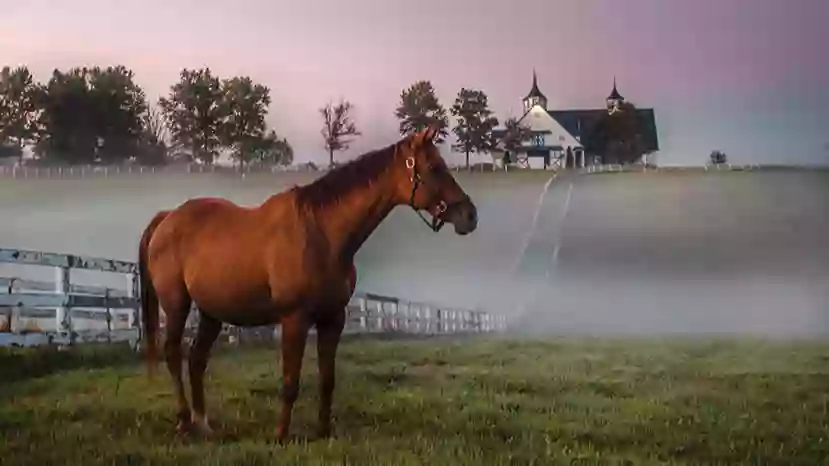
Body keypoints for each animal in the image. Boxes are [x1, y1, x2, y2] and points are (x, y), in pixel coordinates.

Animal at [138, 126, 476, 440]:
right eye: (433, 166)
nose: (469, 216)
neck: (322, 234)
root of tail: (167, 218)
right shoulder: (294, 320)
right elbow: (290, 381)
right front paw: (281, 434)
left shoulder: (333, 320)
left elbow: (328, 379)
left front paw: (323, 432)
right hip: (177, 304)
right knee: (173, 355)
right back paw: (184, 421)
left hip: (212, 312)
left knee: (197, 360)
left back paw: (203, 423)